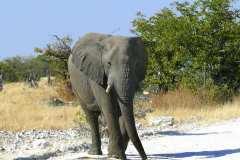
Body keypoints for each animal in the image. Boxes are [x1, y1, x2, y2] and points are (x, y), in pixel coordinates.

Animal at [67, 32, 148, 160]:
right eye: (109, 64)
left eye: (136, 64)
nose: (145, 157)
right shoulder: (97, 72)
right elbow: (109, 107)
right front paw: (116, 155)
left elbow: (122, 109)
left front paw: (116, 154)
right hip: (75, 86)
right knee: (91, 116)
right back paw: (94, 153)